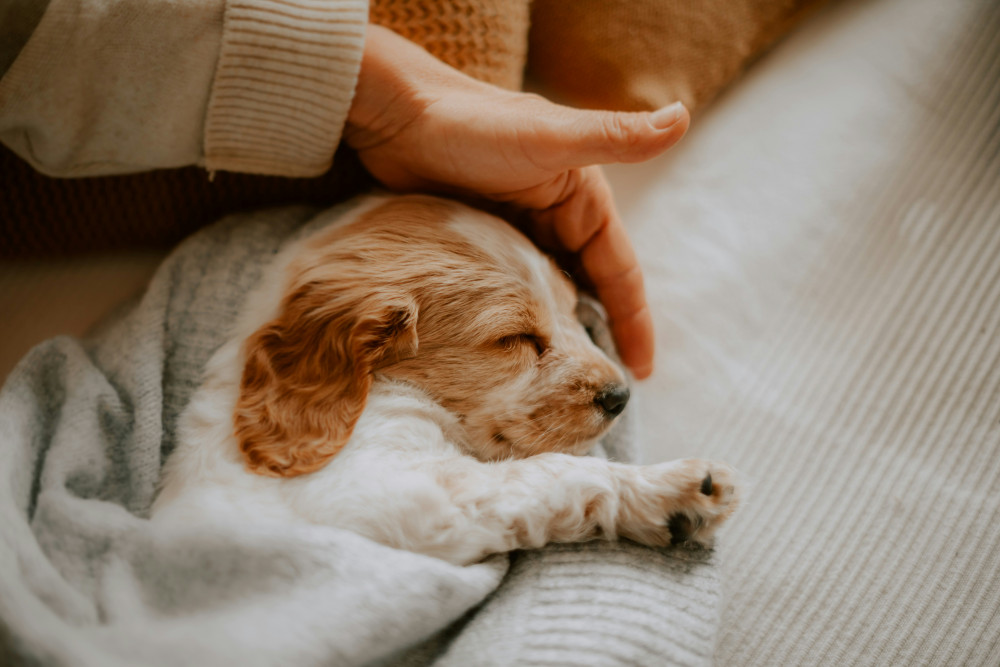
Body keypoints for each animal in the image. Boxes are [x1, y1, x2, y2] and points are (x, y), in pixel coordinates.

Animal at [152, 194, 739, 565]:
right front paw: (674, 490)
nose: (620, 395)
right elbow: (550, 472)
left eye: (574, 311)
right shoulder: (393, 493)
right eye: (515, 338)